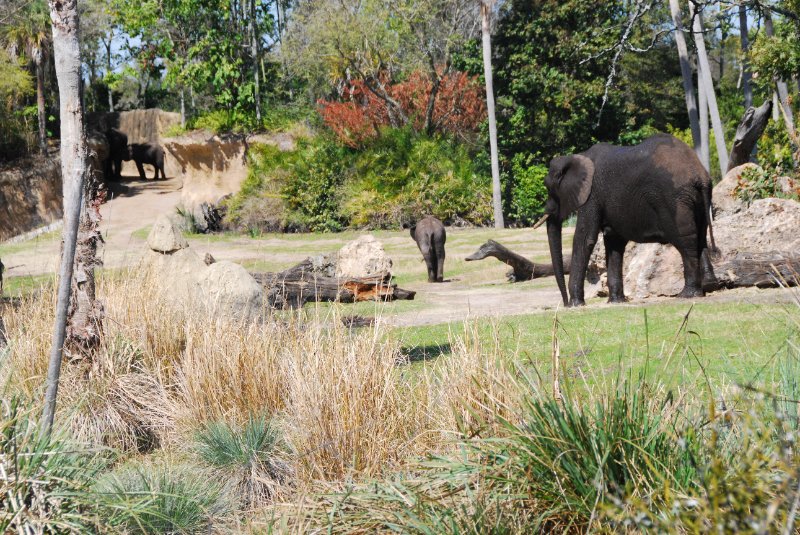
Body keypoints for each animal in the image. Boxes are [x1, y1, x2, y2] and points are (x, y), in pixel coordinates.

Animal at [536, 134, 720, 308]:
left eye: (549, 187)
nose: (565, 303)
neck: (577, 156)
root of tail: (700, 176)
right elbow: (614, 242)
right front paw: (616, 302)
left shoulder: (592, 194)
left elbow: (585, 240)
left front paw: (576, 304)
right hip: (697, 200)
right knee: (700, 237)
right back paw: (708, 286)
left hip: (674, 200)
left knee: (685, 242)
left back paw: (687, 294)